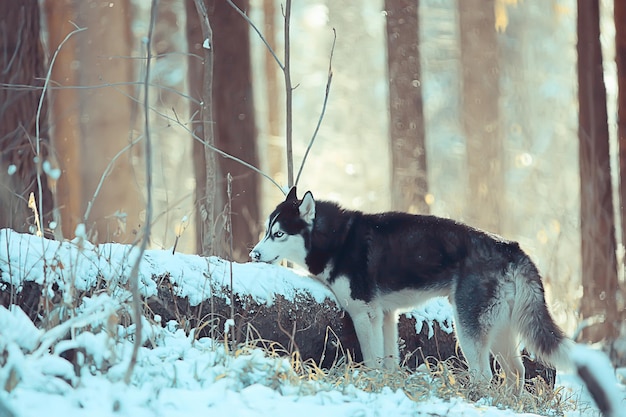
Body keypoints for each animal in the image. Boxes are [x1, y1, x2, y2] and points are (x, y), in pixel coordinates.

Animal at [249, 188, 616, 404]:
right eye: (266, 230)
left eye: (278, 234)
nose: (253, 254)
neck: (336, 239)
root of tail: (512, 249)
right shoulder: (385, 315)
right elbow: (388, 361)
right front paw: (389, 387)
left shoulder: (363, 313)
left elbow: (371, 359)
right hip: (501, 331)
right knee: (516, 372)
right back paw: (509, 404)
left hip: (468, 329)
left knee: (485, 374)